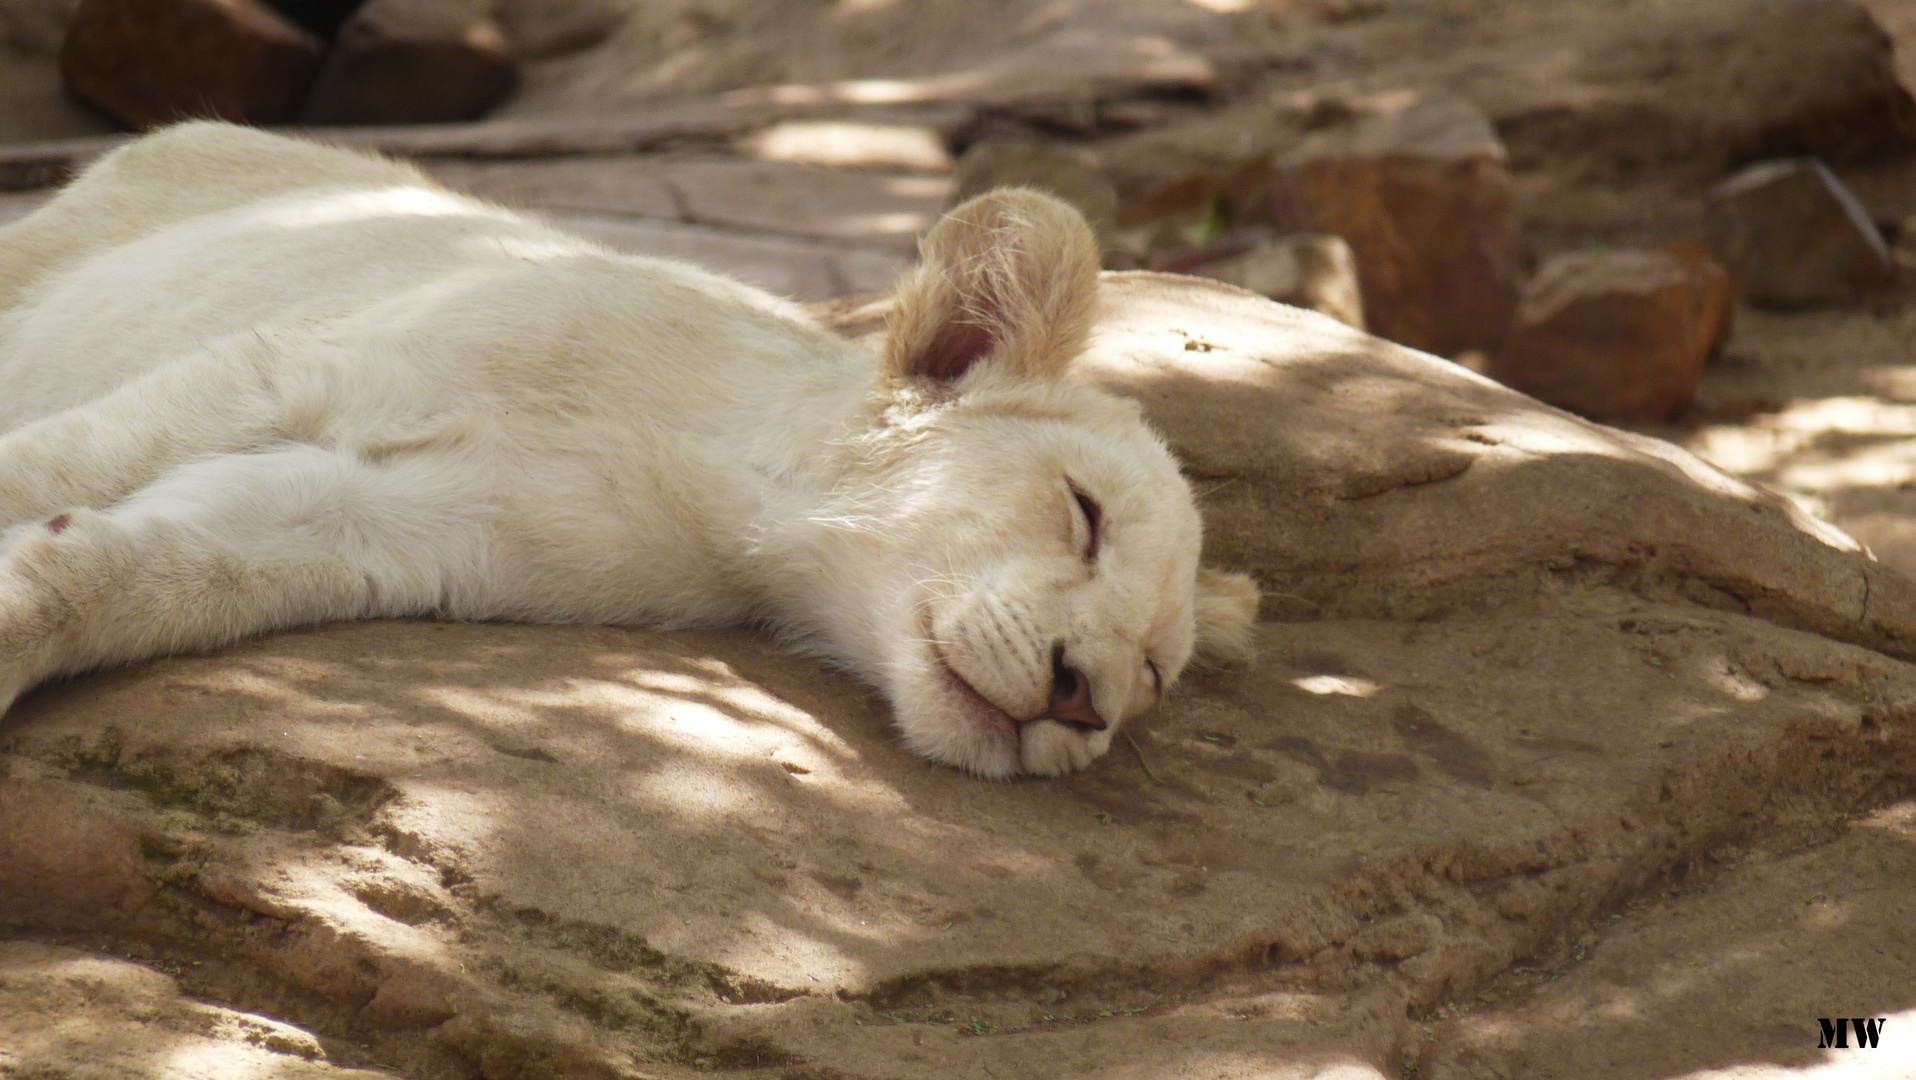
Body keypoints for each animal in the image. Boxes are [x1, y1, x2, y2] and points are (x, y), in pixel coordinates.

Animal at [0, 120, 1256, 777]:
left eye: (1154, 672)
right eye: (1082, 516)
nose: (1083, 703)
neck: (708, 477)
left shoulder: (404, 526)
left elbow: (156, 566)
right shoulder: (296, 367)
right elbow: (58, 460)